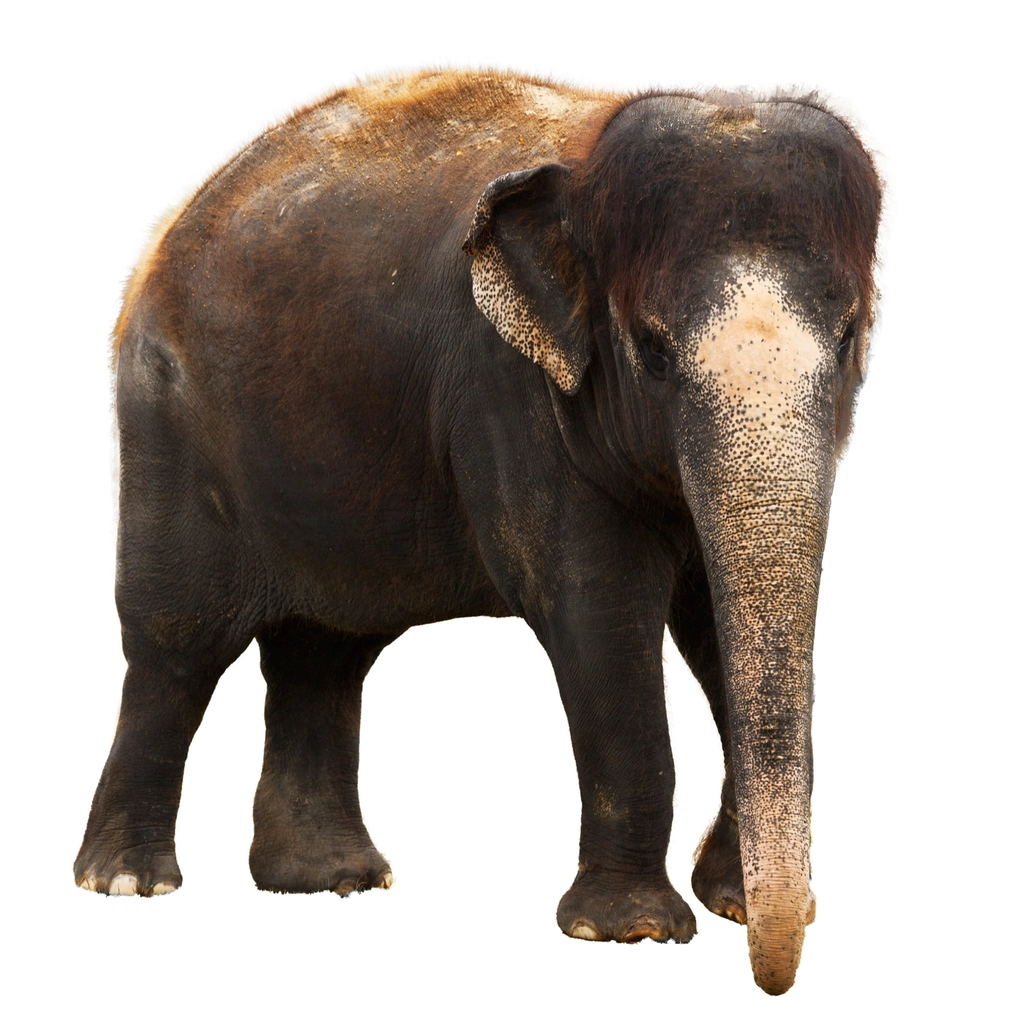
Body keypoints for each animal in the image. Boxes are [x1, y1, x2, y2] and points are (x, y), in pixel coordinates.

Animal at [75, 70, 881, 995]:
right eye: (651, 350)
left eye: (850, 338)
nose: (774, 977)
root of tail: (170, 229)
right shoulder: (511, 395)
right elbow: (597, 616)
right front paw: (631, 933)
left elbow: (715, 625)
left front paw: (733, 906)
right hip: (167, 422)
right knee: (176, 645)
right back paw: (129, 883)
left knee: (324, 652)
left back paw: (331, 880)